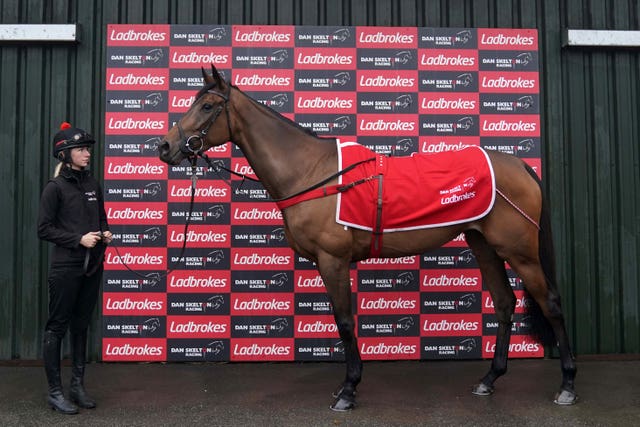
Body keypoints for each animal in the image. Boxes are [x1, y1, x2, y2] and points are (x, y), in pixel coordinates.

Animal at [158, 64, 576, 412]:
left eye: (208, 105)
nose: (165, 147)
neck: (312, 172)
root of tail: (519, 164)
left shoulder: (333, 260)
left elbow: (344, 322)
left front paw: (348, 390)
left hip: (520, 251)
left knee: (551, 303)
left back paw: (567, 385)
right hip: (484, 245)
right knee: (504, 304)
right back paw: (489, 379)